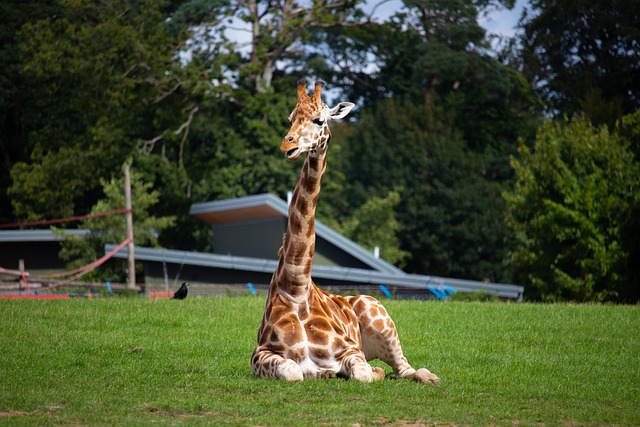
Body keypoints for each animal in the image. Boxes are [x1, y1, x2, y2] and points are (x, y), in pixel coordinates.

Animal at [250, 80, 440, 384]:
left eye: (319, 120)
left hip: (379, 313)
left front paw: (371, 372)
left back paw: (429, 377)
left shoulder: (351, 350)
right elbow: (293, 371)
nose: (287, 144)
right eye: (291, 119)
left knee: (405, 368)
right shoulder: (260, 353)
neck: (296, 287)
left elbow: (363, 373)